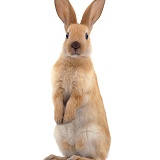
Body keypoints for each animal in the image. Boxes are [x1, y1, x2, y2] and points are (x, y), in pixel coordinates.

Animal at [44, 0, 110, 160]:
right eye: (66, 35)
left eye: (86, 36)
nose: (75, 45)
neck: (73, 61)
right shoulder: (57, 88)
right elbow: (57, 100)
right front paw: (59, 118)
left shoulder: (81, 90)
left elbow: (73, 102)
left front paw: (67, 118)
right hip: (61, 137)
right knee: (68, 155)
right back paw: (53, 156)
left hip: (91, 137)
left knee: (95, 158)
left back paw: (77, 157)